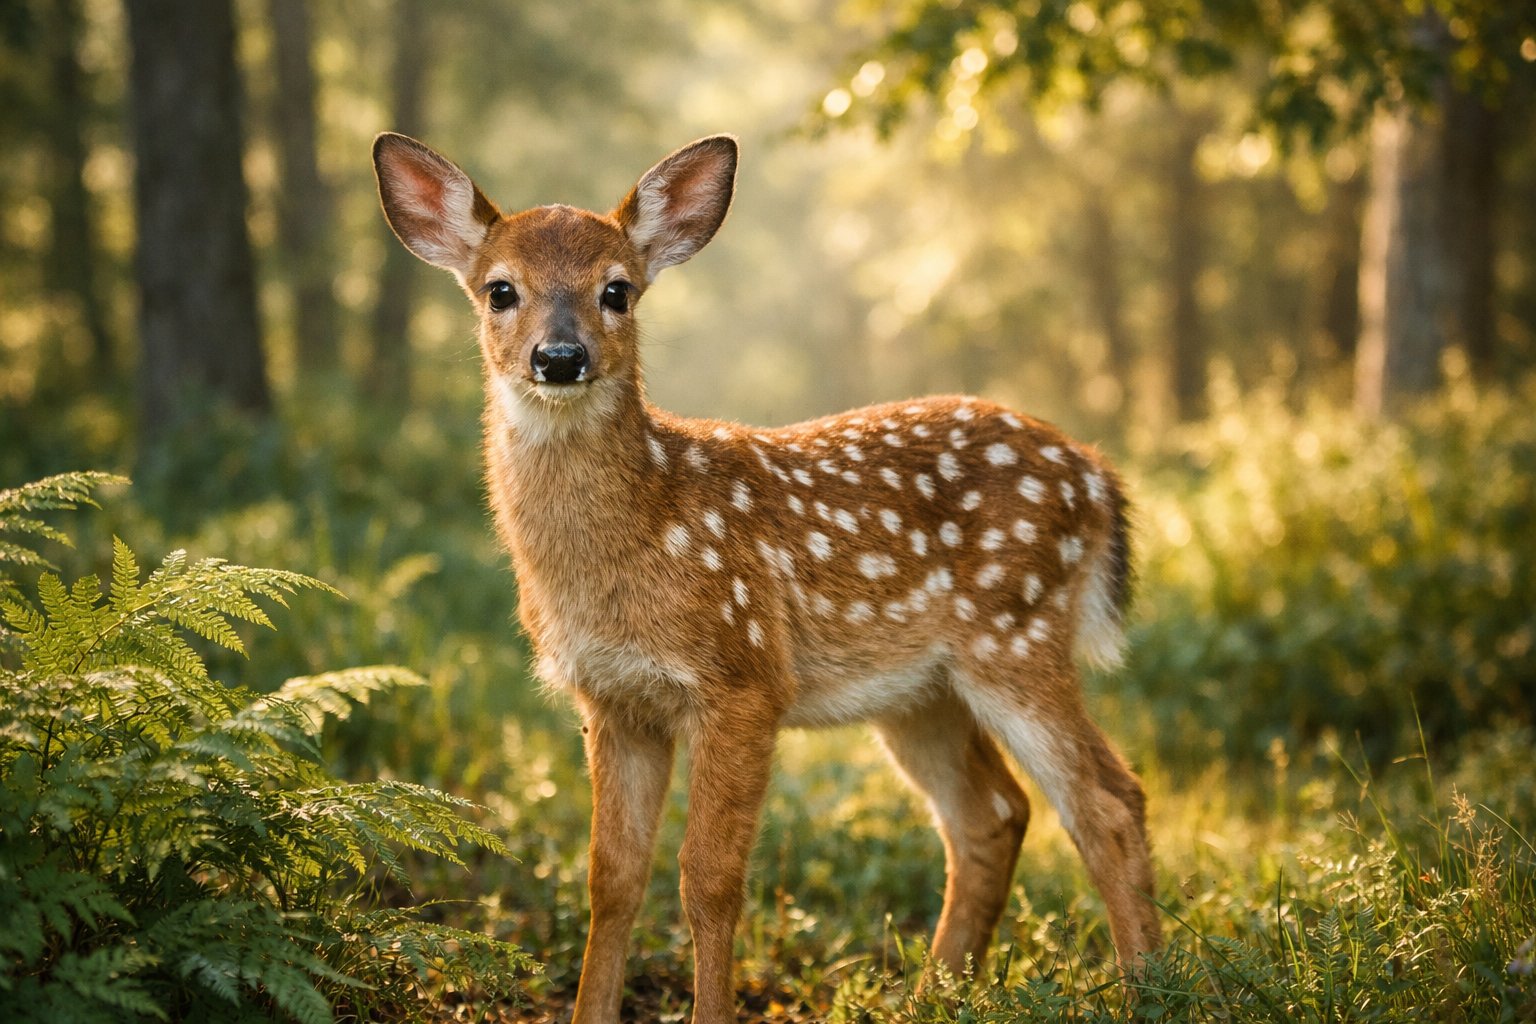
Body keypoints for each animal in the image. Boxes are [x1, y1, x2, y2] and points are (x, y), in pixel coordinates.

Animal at [373, 131, 1160, 1023]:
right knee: (991, 815)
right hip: (920, 691)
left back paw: (1149, 987)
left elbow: (709, 880)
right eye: (499, 290)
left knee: (1108, 801)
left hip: (1016, 634)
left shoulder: (743, 676)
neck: (637, 536)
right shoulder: (612, 700)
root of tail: (1097, 474)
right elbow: (612, 879)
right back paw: (931, 997)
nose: (561, 357)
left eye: (618, 290)